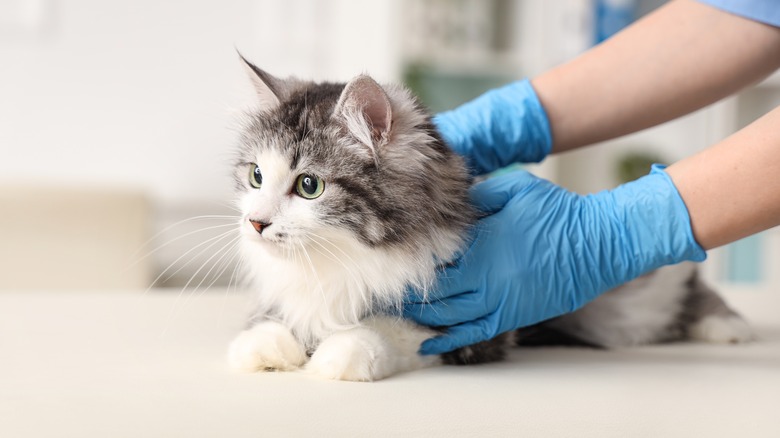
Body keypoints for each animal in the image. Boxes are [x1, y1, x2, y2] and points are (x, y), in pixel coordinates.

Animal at [224, 57, 748, 380]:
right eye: (256, 176)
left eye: (309, 186)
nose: (256, 224)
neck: (339, 263)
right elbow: (274, 318)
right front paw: (265, 348)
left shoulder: (469, 328)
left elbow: (389, 327)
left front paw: (341, 354)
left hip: (656, 283)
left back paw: (727, 327)